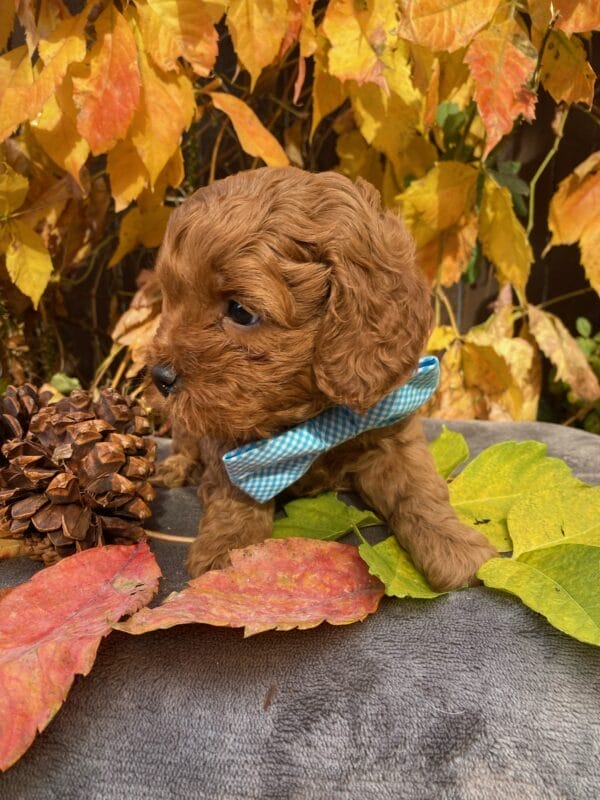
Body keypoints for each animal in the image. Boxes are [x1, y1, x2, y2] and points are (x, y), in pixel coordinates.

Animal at [150, 166, 496, 592]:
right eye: (171, 298)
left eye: (241, 312)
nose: (160, 376)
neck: (314, 417)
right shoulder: (228, 434)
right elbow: (233, 492)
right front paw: (228, 551)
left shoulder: (392, 431)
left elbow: (420, 489)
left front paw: (454, 545)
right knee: (184, 441)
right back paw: (174, 467)